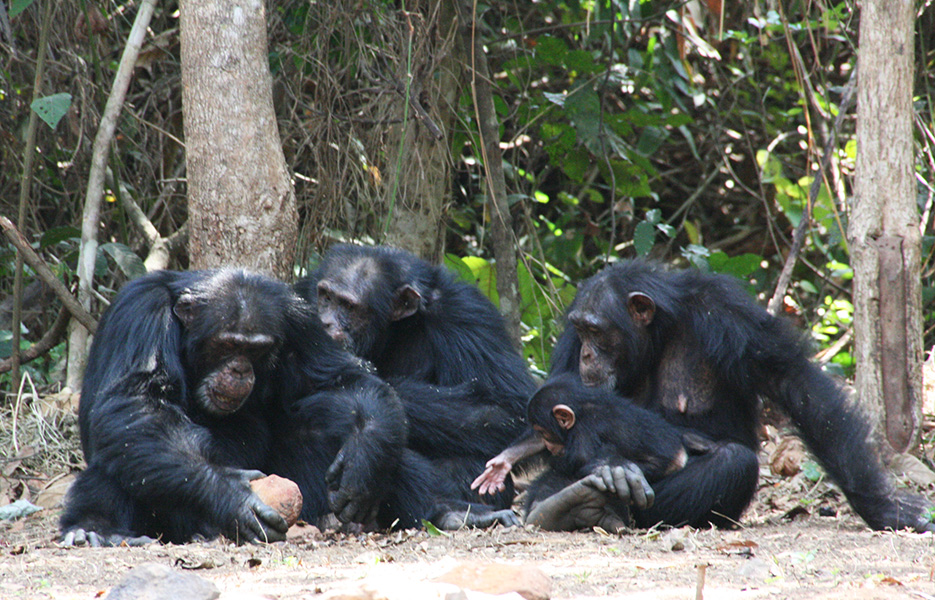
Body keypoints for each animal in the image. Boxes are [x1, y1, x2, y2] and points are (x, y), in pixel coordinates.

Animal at [59, 270, 410, 548]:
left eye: (256, 349)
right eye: (227, 344)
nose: (240, 369)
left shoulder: (299, 321)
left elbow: (340, 377)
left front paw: (365, 458)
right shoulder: (143, 313)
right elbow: (136, 404)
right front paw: (232, 495)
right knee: (128, 442)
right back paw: (97, 530)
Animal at [296, 243, 536, 524]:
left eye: (348, 306)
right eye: (325, 297)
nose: (325, 323)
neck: (393, 330)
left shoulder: (467, 314)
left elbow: (507, 408)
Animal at [482, 260, 935, 532]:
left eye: (597, 331)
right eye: (582, 330)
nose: (588, 353)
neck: (656, 336)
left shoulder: (729, 314)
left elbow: (794, 383)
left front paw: (884, 507)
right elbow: (551, 411)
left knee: (733, 462)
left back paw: (593, 504)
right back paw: (563, 503)